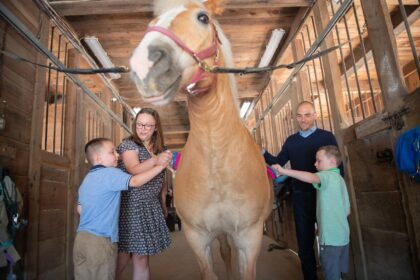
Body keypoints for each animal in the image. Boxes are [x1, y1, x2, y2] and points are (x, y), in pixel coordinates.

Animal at [130, 1, 272, 278]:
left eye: (203, 18)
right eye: (152, 23)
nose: (143, 65)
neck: (217, 159)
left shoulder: (250, 237)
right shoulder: (197, 237)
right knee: (225, 251)